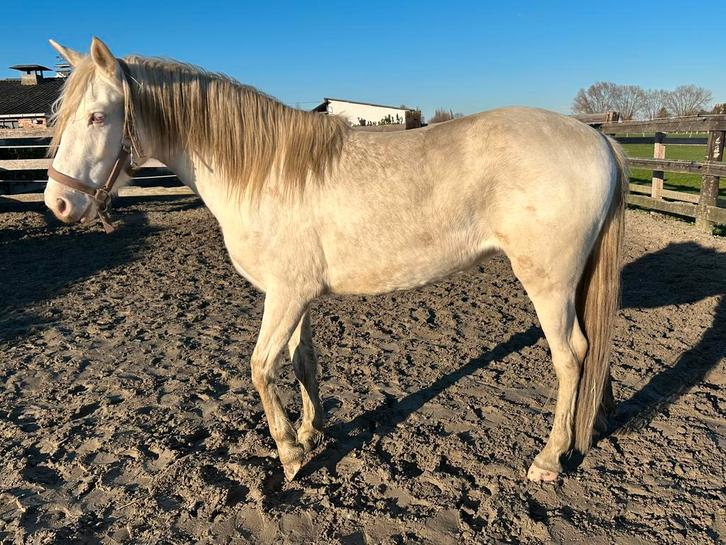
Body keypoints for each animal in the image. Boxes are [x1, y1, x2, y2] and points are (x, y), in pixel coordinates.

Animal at [44, 37, 626, 482]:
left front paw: (290, 454)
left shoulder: (284, 296)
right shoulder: (296, 295)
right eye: (62, 117)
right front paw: (311, 430)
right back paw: (592, 427)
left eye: (98, 116)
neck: (265, 173)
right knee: (596, 349)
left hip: (548, 283)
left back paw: (549, 459)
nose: (59, 202)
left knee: (571, 356)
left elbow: (261, 367)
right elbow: (302, 361)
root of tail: (596, 138)